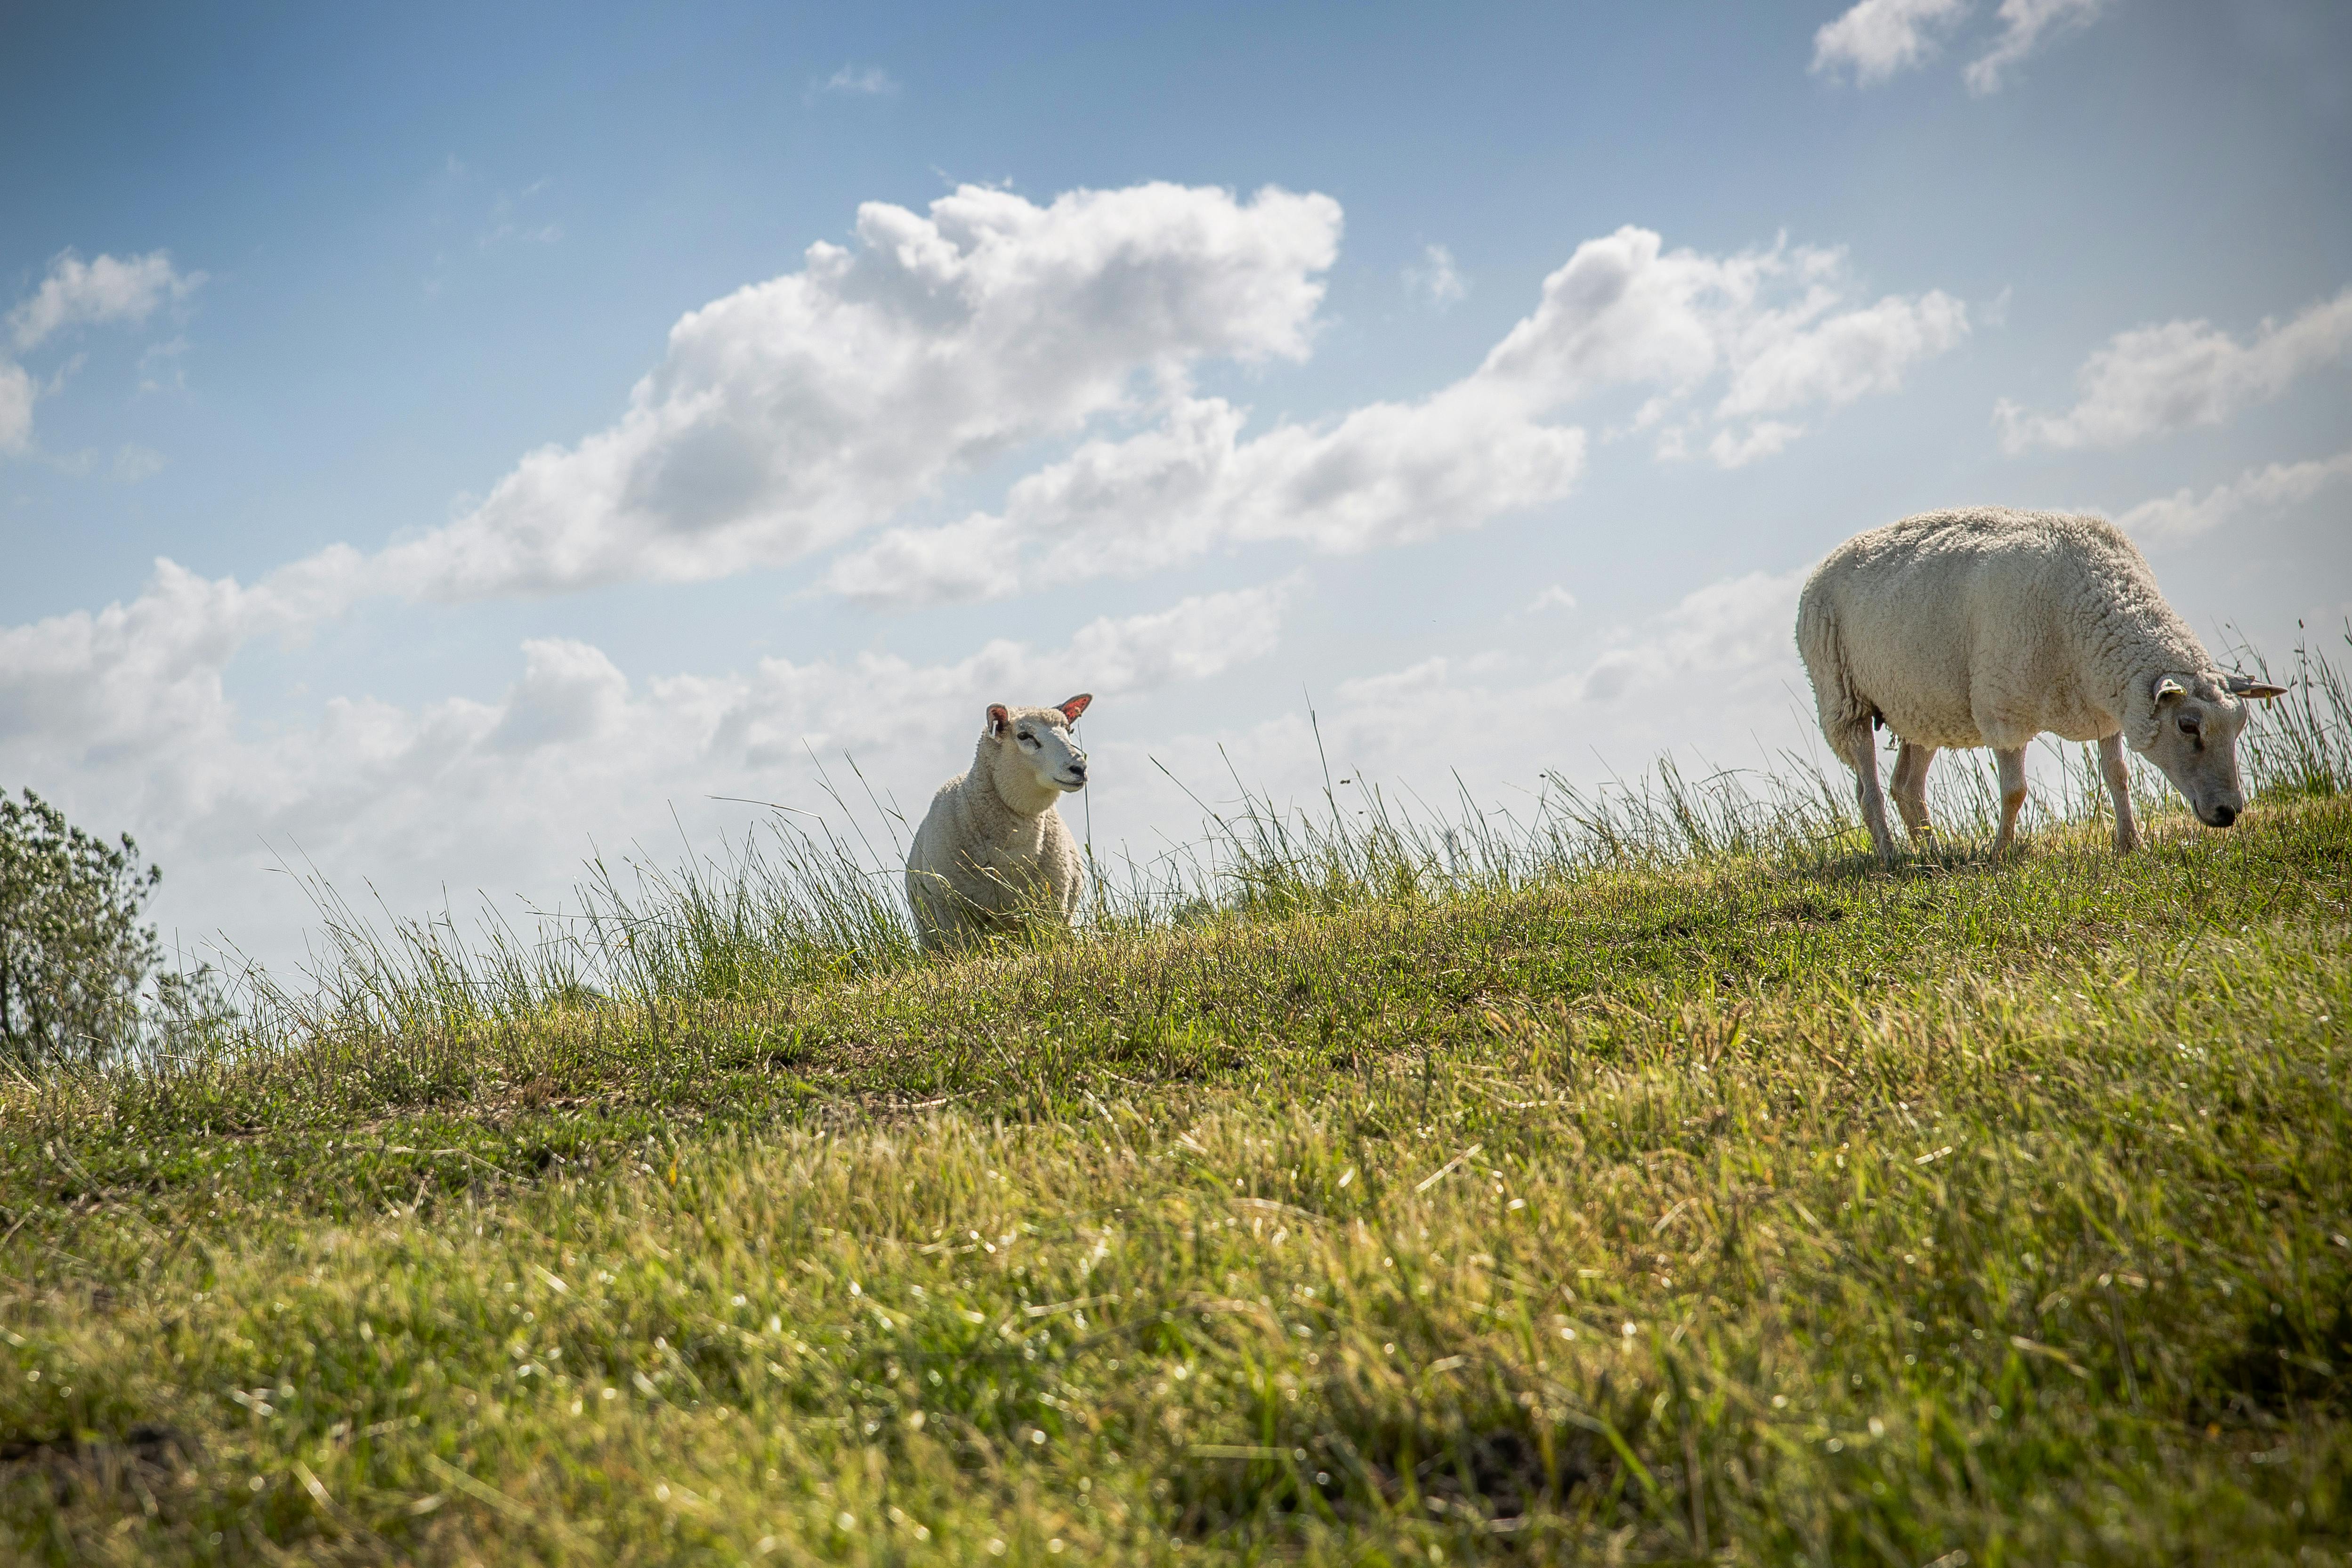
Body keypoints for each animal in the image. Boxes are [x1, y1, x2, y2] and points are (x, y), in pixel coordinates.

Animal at [908, 691, 1091, 949]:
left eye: (1069, 730)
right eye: (1024, 736)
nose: (1079, 768)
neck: (1011, 853)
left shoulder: (1050, 907)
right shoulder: (950, 912)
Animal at [1797, 510, 2277, 860]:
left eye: (2239, 727)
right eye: (2187, 726)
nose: (2229, 812)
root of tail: (1823, 565)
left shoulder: (2109, 709)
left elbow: (2117, 776)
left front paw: (2131, 844)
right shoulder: (2002, 710)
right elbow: (2014, 792)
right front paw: (2000, 855)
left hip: (1921, 705)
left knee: (1906, 788)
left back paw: (1932, 855)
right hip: (1843, 698)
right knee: (1870, 792)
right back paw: (1892, 858)